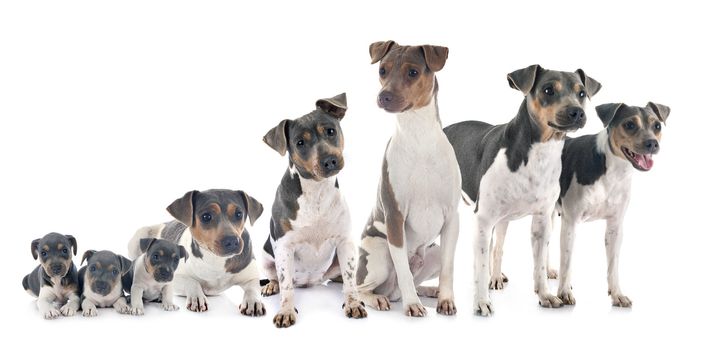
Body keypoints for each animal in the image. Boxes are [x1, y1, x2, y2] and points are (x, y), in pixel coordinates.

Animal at [128, 190, 266, 316]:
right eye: (206, 216)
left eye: (239, 214)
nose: (232, 241)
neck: (216, 260)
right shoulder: (176, 277)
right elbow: (192, 281)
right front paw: (197, 298)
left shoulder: (251, 277)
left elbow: (253, 289)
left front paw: (253, 302)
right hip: (138, 236)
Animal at [262, 91, 368, 326]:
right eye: (300, 143)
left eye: (330, 131)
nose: (329, 161)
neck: (316, 192)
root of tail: (309, 282)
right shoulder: (284, 247)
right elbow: (286, 285)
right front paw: (286, 310)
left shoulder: (345, 243)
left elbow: (350, 279)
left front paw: (353, 303)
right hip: (266, 256)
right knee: (277, 278)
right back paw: (271, 285)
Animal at [358, 41, 464, 318]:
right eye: (382, 70)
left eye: (413, 72)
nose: (383, 96)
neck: (419, 135)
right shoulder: (395, 217)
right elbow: (404, 271)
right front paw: (412, 305)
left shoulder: (452, 219)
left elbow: (449, 269)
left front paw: (446, 299)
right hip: (379, 253)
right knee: (360, 288)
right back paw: (379, 299)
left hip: (433, 252)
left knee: (415, 280)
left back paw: (428, 290)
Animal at [444, 65, 600, 314]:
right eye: (548, 90)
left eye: (582, 93)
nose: (577, 112)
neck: (540, 154)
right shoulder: (484, 218)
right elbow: (480, 264)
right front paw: (482, 301)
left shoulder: (542, 220)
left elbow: (539, 265)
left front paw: (545, 295)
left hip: (504, 220)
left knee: (497, 249)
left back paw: (497, 276)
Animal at [556, 101, 668, 306]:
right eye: (629, 125)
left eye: (657, 126)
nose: (652, 143)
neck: (614, 171)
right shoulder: (570, 223)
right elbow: (566, 262)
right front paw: (564, 292)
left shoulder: (615, 227)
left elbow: (613, 265)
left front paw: (617, 294)